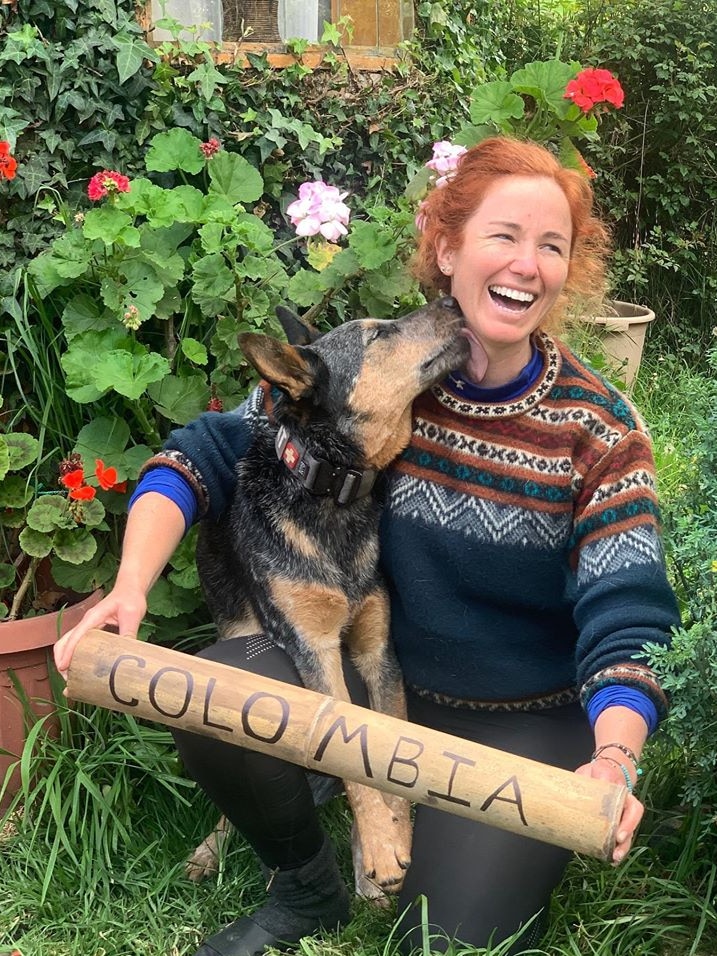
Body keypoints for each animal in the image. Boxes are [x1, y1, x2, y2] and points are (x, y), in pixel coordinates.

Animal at [190, 296, 468, 896]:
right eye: (379, 335)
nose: (452, 300)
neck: (334, 492)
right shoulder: (312, 649)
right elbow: (345, 755)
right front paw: (381, 844)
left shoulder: (376, 650)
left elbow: (386, 749)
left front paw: (393, 834)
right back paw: (211, 847)